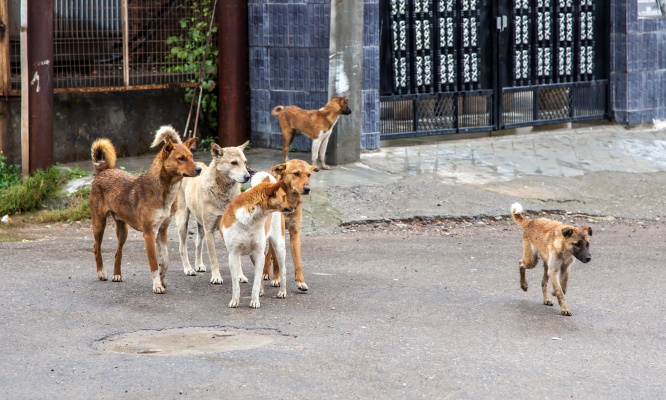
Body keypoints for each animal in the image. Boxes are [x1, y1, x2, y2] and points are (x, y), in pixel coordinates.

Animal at [90, 127, 200, 294]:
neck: (163, 191)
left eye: (192, 157)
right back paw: (101, 272)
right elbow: (154, 264)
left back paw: (117, 275)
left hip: (123, 231)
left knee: (118, 252)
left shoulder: (162, 231)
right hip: (99, 224)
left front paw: (163, 280)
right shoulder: (149, 234)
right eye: (181, 158)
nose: (199, 169)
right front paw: (157, 285)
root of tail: (102, 171)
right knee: (96, 248)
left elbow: (165, 260)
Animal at [175, 139, 250, 282]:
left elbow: (237, 258)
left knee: (198, 243)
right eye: (234, 163)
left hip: (200, 225)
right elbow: (214, 258)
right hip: (182, 221)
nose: (248, 177)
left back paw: (198, 264)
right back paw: (188, 269)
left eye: (245, 162)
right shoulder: (209, 230)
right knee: (182, 247)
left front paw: (240, 275)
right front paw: (216, 277)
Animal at [220, 180, 294, 308]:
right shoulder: (233, 255)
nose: (294, 206)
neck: (250, 219)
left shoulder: (259, 254)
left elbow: (255, 283)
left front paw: (254, 301)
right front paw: (235, 301)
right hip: (253, 256)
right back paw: (262, 291)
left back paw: (282, 292)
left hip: (278, 247)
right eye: (284, 196)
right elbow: (236, 284)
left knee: (283, 270)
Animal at [260, 159, 318, 290]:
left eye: (309, 175)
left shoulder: (294, 233)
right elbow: (277, 260)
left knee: (269, 254)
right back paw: (266, 273)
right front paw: (277, 279)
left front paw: (300, 281)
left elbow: (298, 261)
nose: (307, 189)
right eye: (296, 173)